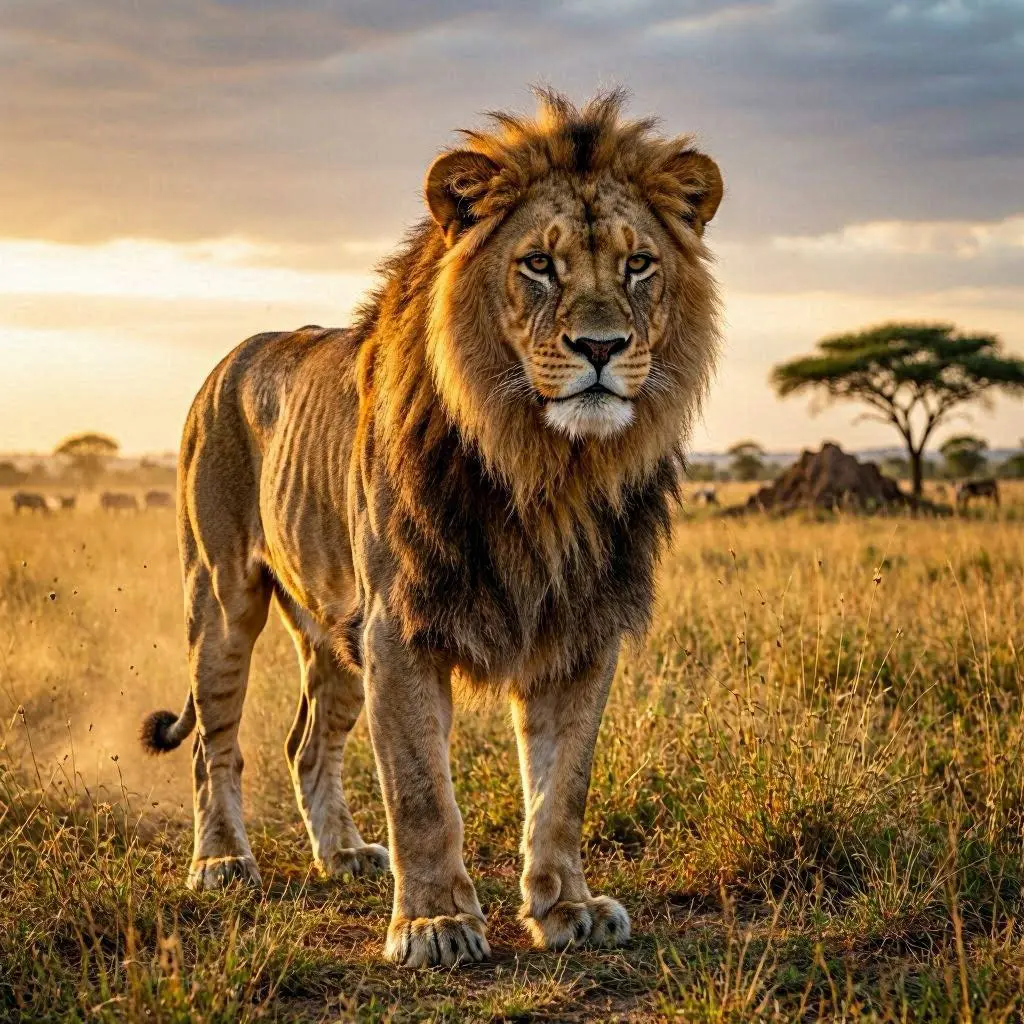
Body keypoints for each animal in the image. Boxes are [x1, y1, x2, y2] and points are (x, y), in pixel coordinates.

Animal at [140, 89, 723, 969]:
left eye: (638, 265)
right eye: (539, 264)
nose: (600, 346)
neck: (548, 469)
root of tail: (230, 358)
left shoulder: (584, 629)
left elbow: (563, 787)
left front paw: (568, 908)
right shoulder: (399, 627)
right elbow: (419, 790)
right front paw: (434, 923)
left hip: (334, 629)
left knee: (305, 742)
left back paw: (344, 855)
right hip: (220, 598)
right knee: (217, 745)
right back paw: (222, 864)